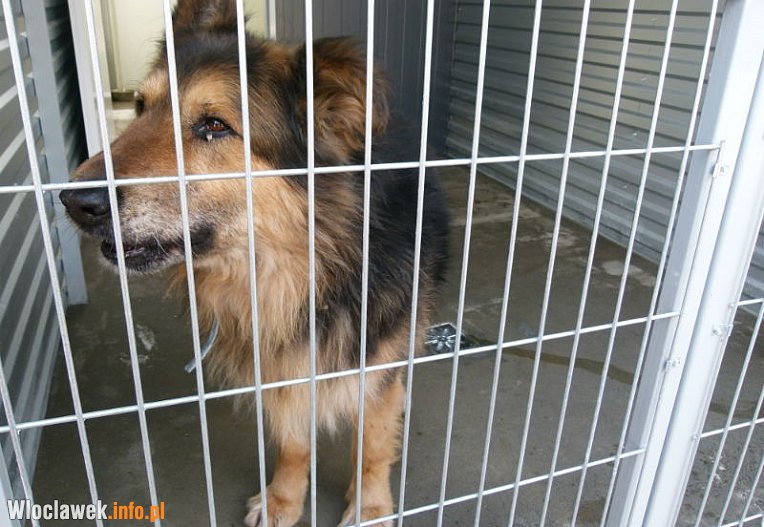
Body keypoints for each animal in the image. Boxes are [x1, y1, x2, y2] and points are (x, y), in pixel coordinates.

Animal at [60, 0, 449, 525]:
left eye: (214, 126)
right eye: (140, 107)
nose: (73, 202)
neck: (310, 270)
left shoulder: (378, 363)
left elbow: (371, 446)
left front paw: (369, 508)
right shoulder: (280, 361)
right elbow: (293, 440)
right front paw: (284, 499)